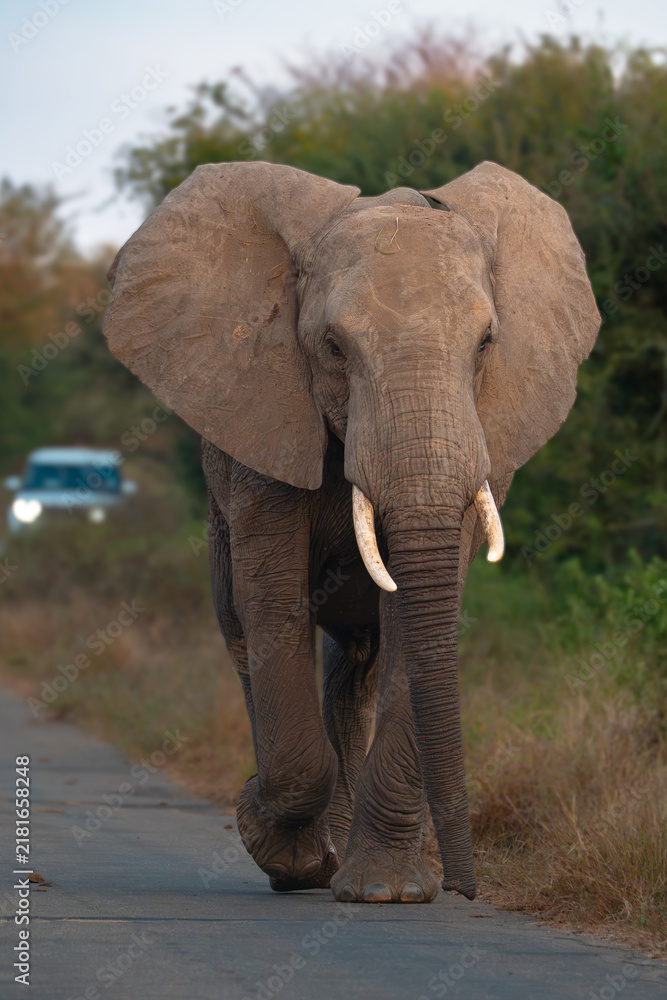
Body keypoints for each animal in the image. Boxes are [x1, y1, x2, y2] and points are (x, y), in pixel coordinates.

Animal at [103, 160, 600, 903]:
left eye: (485, 344)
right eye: (333, 348)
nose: (466, 889)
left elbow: (415, 618)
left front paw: (389, 893)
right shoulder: (266, 414)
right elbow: (272, 605)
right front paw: (275, 842)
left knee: (357, 670)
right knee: (245, 638)